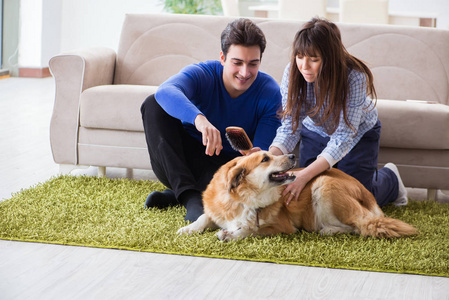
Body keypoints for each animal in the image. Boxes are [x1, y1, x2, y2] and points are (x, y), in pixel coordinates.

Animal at [176, 150, 416, 241]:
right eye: (265, 159)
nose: (292, 155)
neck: (243, 200)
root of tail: (369, 196)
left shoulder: (282, 227)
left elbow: (251, 229)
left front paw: (231, 234)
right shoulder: (217, 211)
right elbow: (203, 217)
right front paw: (188, 229)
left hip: (324, 184)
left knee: (360, 226)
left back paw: (328, 230)